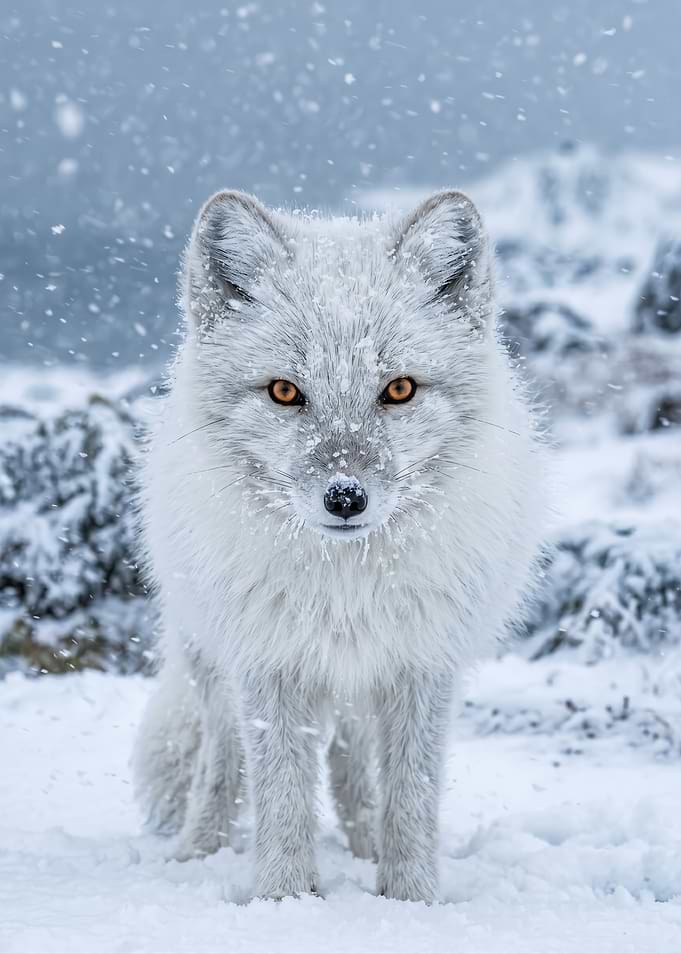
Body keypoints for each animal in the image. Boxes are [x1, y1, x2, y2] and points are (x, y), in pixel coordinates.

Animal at [133, 188, 547, 903]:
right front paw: (285, 900)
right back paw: (198, 853)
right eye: (284, 391)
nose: (345, 498)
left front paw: (410, 901)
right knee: (222, 761)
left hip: (360, 686)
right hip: (209, 659)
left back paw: (363, 849)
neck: (345, 587)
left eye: (399, 389)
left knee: (354, 768)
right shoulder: (270, 665)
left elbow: (411, 797)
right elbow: (280, 797)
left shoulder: (421, 665)